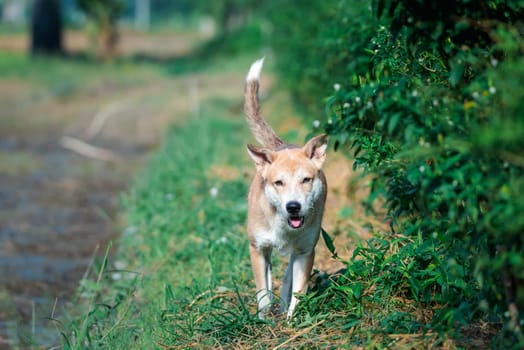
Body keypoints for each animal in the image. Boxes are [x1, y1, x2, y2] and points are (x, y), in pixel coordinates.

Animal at [243, 58, 328, 318]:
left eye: (306, 180)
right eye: (278, 182)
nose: (293, 207)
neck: (283, 223)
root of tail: (282, 146)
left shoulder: (306, 252)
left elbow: (298, 292)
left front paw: (292, 321)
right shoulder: (258, 249)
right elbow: (262, 294)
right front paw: (263, 321)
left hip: (297, 251)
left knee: (288, 278)